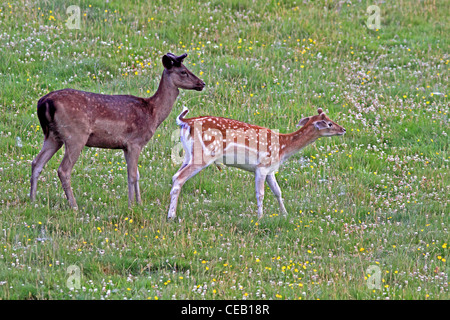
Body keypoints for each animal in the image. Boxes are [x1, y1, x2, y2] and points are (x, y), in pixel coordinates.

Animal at [31, 52, 206, 209]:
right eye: (183, 71)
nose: (202, 83)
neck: (153, 114)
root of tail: (44, 102)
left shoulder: (126, 146)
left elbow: (136, 174)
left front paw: (139, 203)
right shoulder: (135, 142)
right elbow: (133, 175)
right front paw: (131, 205)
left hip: (52, 136)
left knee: (36, 162)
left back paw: (32, 200)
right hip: (75, 136)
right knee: (63, 170)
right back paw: (74, 206)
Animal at [168, 107, 344, 220]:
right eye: (329, 123)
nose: (343, 129)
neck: (283, 147)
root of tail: (185, 122)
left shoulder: (271, 170)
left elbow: (278, 191)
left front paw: (285, 214)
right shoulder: (262, 166)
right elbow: (261, 194)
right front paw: (260, 217)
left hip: (188, 154)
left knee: (175, 175)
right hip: (203, 155)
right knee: (179, 178)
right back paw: (172, 216)